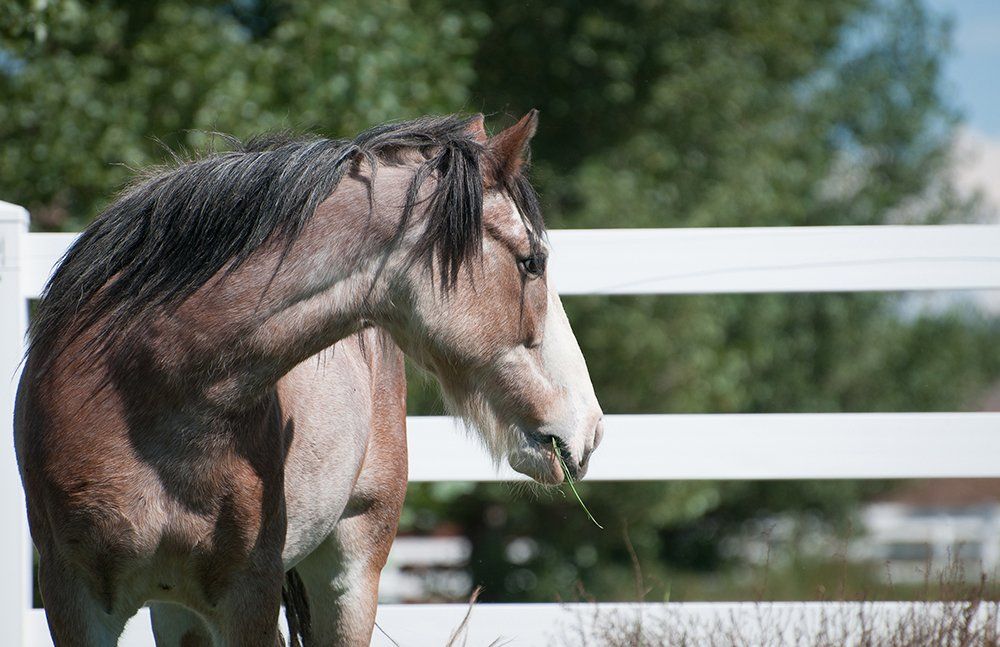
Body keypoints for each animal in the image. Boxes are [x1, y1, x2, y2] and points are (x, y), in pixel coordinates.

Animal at [14, 111, 604, 646]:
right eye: (532, 262)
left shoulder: (248, 598)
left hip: (349, 575)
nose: (591, 428)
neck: (137, 388)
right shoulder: (73, 601)